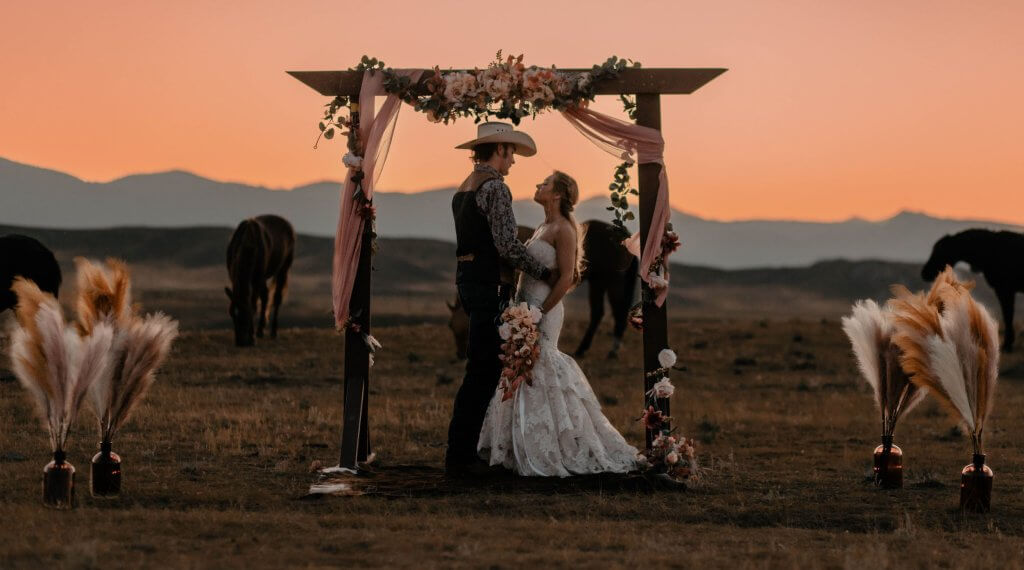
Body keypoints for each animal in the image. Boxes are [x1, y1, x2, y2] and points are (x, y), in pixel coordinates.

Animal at [227, 214, 296, 343]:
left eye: (249, 315)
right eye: (233, 315)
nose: (242, 342)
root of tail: (287, 224)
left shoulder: (256, 280)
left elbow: (254, 303)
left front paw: (252, 334)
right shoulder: (235, 277)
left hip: (283, 269)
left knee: (276, 298)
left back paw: (273, 331)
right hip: (262, 278)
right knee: (265, 296)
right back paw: (260, 330)